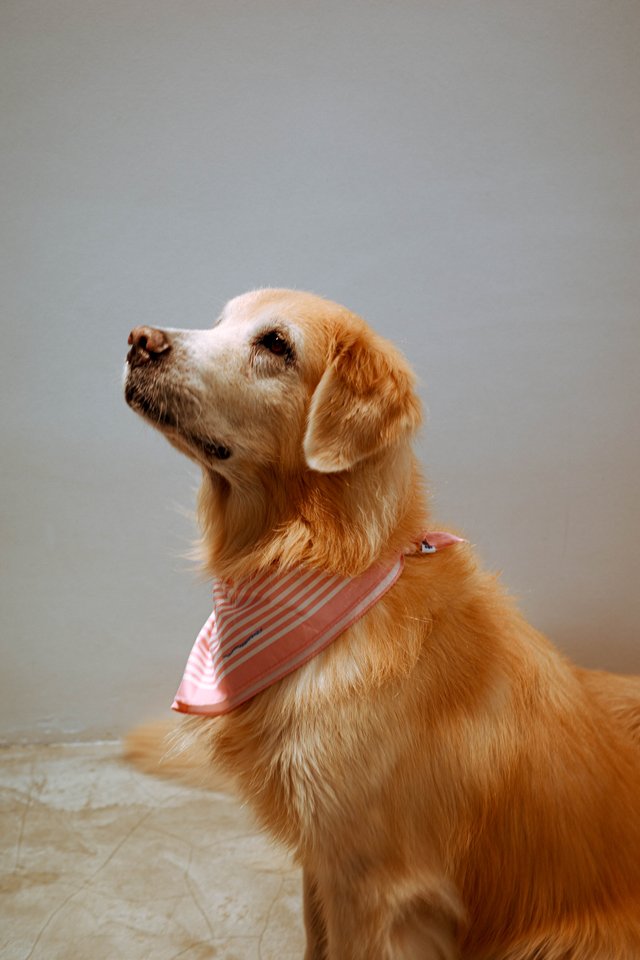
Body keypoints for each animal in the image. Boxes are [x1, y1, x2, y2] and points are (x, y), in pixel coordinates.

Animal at [124, 288, 640, 956]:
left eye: (276, 344)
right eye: (219, 322)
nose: (138, 340)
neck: (318, 563)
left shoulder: (373, 882)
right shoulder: (322, 857)